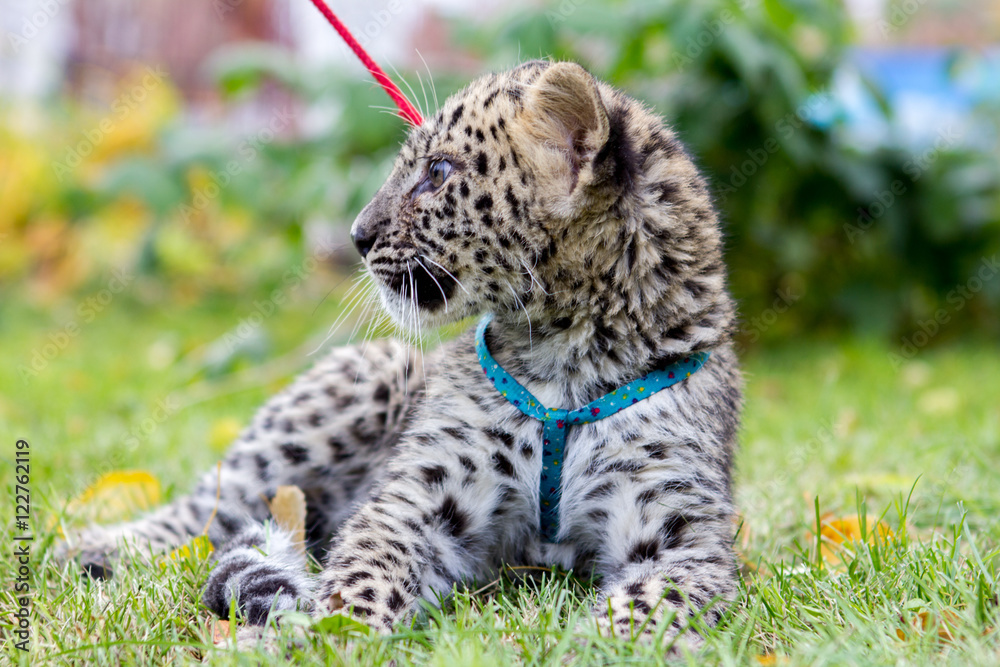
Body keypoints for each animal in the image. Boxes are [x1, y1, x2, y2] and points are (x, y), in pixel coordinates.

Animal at [63, 60, 742, 651]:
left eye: (438, 172)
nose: (356, 236)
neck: (568, 359)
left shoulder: (680, 534)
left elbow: (649, 604)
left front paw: (598, 648)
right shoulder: (417, 500)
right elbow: (364, 574)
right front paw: (331, 637)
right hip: (369, 375)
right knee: (211, 509)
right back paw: (95, 546)